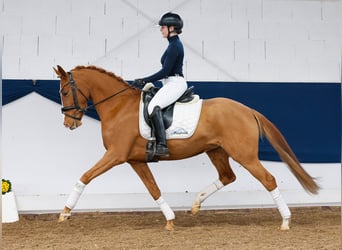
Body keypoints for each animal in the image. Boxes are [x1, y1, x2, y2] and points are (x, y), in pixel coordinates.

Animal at [52, 65, 318, 230]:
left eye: (64, 91)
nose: (69, 123)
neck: (118, 107)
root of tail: (247, 110)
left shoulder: (115, 155)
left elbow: (85, 177)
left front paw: (65, 212)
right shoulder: (135, 160)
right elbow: (153, 189)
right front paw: (170, 219)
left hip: (244, 155)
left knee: (268, 179)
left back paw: (285, 221)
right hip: (216, 150)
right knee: (227, 176)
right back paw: (196, 204)